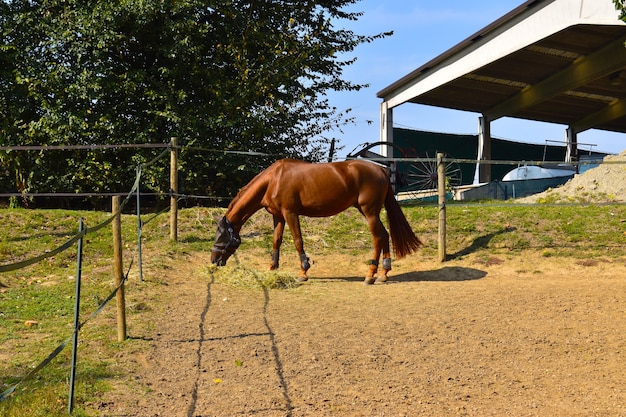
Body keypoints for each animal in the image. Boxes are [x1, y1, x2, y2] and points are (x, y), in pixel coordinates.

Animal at [210, 158, 420, 282]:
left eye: (221, 237)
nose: (213, 261)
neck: (274, 179)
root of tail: (381, 170)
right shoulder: (278, 216)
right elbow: (276, 241)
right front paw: (272, 268)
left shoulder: (290, 213)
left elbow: (297, 241)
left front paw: (303, 271)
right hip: (370, 212)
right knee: (384, 235)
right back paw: (383, 273)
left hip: (370, 213)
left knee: (378, 238)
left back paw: (370, 274)